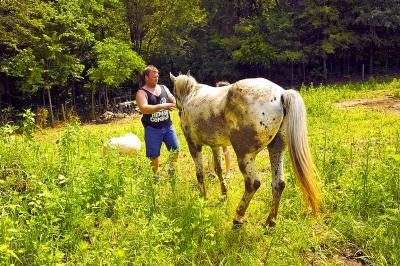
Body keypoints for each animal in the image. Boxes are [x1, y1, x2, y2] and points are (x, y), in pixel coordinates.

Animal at [170, 71, 320, 225]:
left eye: (174, 91)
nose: (178, 111)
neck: (192, 94)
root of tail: (282, 94)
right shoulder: (215, 146)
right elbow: (219, 170)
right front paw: (223, 195)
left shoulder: (194, 145)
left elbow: (200, 174)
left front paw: (203, 199)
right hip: (276, 149)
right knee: (278, 183)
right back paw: (270, 222)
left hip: (245, 155)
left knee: (252, 184)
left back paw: (238, 217)